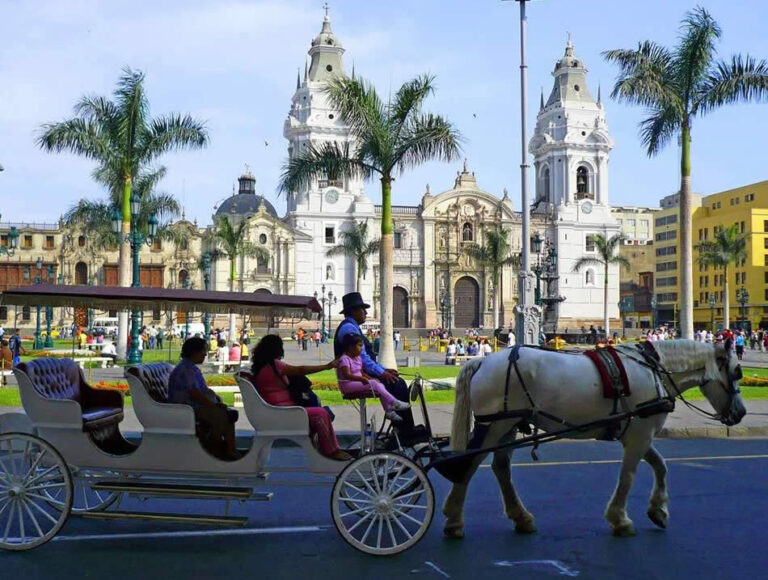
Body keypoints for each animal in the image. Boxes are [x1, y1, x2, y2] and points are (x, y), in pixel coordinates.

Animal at [444, 340, 744, 540]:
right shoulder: (639, 436)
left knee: (500, 468)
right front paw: (620, 519)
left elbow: (661, 466)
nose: (740, 412)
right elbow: (629, 476)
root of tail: (483, 360)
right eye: (736, 372)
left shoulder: (638, 432)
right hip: (494, 425)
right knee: (469, 465)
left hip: (507, 425)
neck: (654, 370)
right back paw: (454, 520)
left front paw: (658, 510)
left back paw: (522, 517)